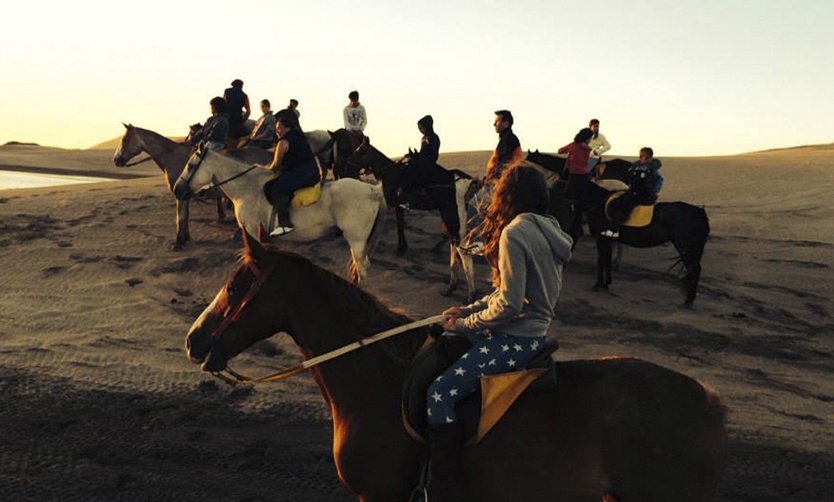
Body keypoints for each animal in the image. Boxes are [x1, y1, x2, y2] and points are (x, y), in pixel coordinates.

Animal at [110, 123, 272, 249]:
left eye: (124, 139)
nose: (116, 160)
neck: (172, 156)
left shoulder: (180, 194)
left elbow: (180, 217)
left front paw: (179, 242)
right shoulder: (184, 194)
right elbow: (184, 216)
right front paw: (185, 238)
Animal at [175, 147, 386, 284]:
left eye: (191, 165)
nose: (177, 190)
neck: (247, 188)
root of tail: (374, 190)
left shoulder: (252, 231)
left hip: (356, 240)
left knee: (362, 269)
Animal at [342, 139, 474, 302]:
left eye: (360, 151)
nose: (347, 165)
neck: (390, 174)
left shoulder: (396, 205)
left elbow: (399, 226)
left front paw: (401, 248)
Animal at [548, 180, 704, 306]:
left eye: (559, 188)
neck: (599, 204)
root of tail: (699, 212)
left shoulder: (602, 239)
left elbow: (601, 261)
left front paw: (598, 285)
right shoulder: (608, 241)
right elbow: (607, 261)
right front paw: (606, 284)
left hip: (685, 248)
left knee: (694, 270)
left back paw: (688, 301)